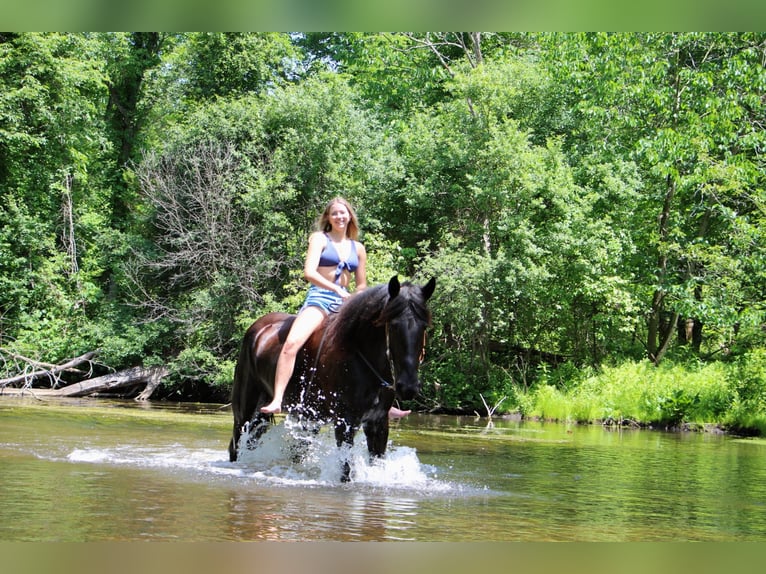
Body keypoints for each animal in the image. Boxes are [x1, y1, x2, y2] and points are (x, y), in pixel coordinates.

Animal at [228, 276, 436, 482]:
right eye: (393, 326)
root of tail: (258, 329)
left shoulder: (378, 423)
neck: (359, 355)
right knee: (235, 446)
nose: (408, 387)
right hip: (244, 411)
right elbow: (345, 472)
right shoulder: (345, 423)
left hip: (279, 417)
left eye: (424, 326)